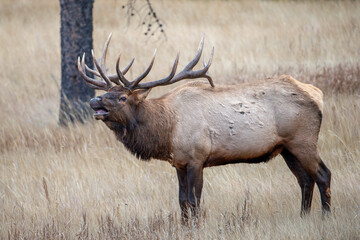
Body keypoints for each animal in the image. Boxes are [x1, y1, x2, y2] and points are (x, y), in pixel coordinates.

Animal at [77, 33, 330, 221]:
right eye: (106, 92)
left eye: (122, 98)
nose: (94, 101)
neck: (167, 131)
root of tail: (318, 95)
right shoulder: (178, 162)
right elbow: (181, 201)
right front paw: (184, 227)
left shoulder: (197, 158)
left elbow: (194, 200)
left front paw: (196, 227)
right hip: (287, 147)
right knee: (305, 180)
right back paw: (303, 216)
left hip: (304, 140)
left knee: (322, 174)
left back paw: (325, 216)